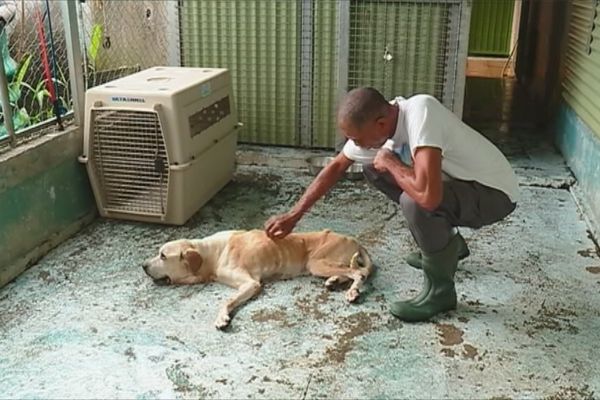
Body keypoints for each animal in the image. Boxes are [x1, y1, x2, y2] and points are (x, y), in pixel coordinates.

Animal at [143, 230, 372, 330]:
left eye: (163, 256)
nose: (143, 266)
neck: (210, 254)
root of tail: (355, 240)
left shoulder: (250, 283)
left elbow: (225, 301)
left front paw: (222, 318)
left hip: (315, 263)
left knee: (359, 273)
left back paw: (352, 292)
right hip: (319, 265)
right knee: (350, 271)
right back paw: (334, 281)